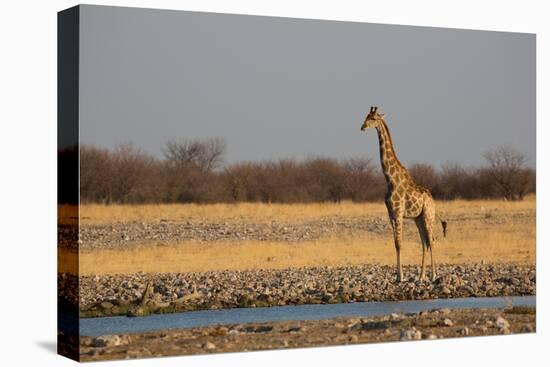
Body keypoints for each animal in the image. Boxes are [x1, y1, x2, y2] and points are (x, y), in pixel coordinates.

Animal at [362, 106, 448, 282]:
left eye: (373, 118)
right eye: (366, 116)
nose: (362, 127)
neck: (390, 179)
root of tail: (433, 201)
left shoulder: (398, 211)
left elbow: (399, 243)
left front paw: (400, 276)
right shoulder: (390, 213)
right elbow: (395, 243)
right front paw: (398, 276)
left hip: (428, 215)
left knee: (431, 241)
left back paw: (434, 275)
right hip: (418, 218)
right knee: (424, 243)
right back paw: (421, 276)